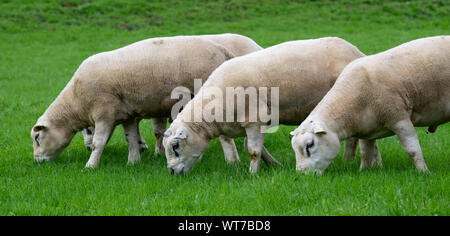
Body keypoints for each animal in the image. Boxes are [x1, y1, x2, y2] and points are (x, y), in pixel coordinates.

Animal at [81, 33, 264, 160]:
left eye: (90, 128)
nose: (88, 147)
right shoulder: (155, 107)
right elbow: (156, 131)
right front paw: (147, 147)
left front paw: (150, 148)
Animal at [162, 36, 366, 173]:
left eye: (175, 146)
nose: (171, 172)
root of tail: (355, 51)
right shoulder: (249, 124)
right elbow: (253, 147)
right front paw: (275, 165)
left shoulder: (254, 118)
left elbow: (253, 151)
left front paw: (253, 174)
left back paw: (348, 160)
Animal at [290, 36, 448, 174]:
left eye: (310, 145)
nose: (302, 174)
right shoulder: (367, 130)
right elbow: (366, 153)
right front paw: (363, 172)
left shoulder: (399, 119)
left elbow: (413, 151)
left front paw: (424, 172)